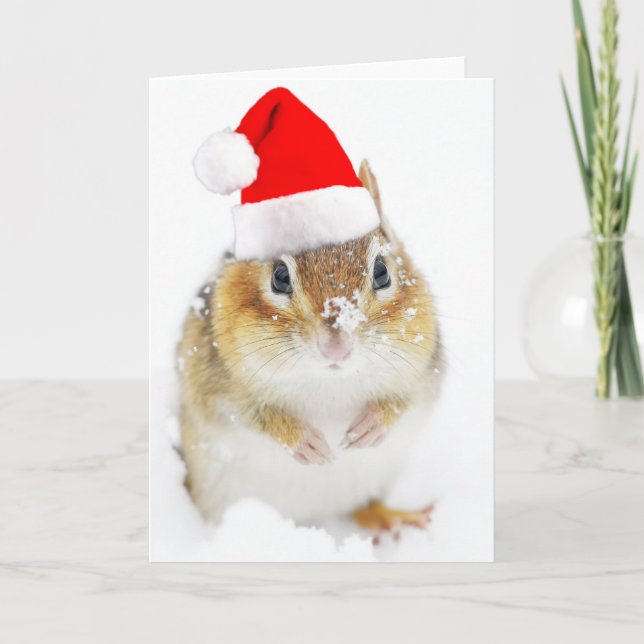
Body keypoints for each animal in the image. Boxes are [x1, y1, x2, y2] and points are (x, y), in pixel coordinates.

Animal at [177, 160, 444, 530]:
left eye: (381, 271)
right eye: (279, 277)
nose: (337, 347)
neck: (328, 384)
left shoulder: (423, 371)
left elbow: (404, 399)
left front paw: (371, 427)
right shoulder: (216, 388)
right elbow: (250, 414)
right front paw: (305, 442)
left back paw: (391, 518)